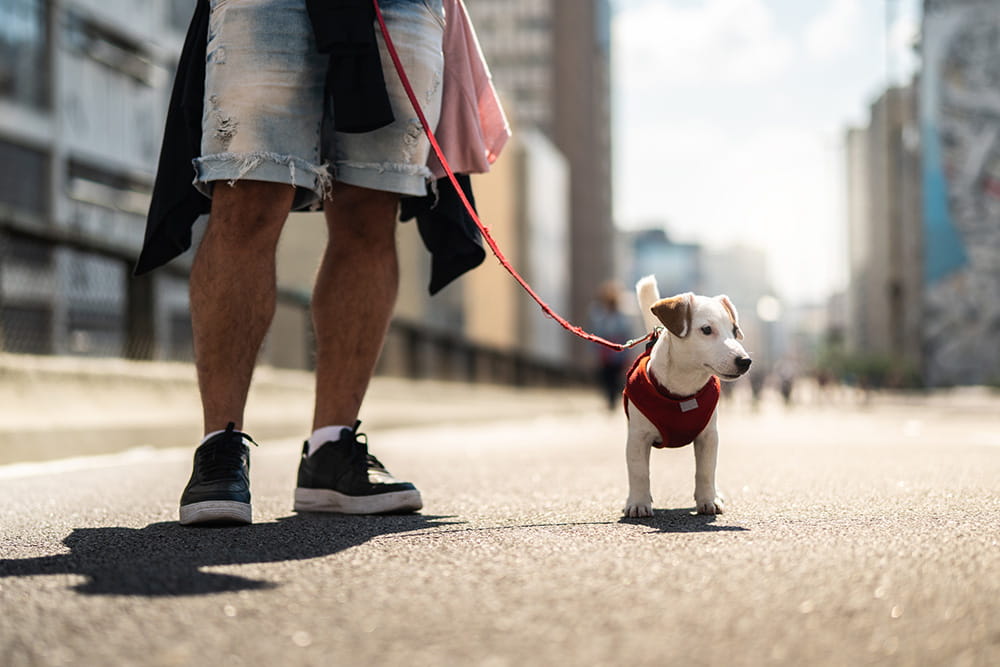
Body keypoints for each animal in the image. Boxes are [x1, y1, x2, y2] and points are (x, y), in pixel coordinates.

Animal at [620, 274, 752, 520]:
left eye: (733, 330)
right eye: (706, 329)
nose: (745, 361)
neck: (683, 389)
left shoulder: (709, 437)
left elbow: (706, 471)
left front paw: (708, 500)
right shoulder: (637, 438)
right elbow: (639, 472)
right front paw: (639, 503)